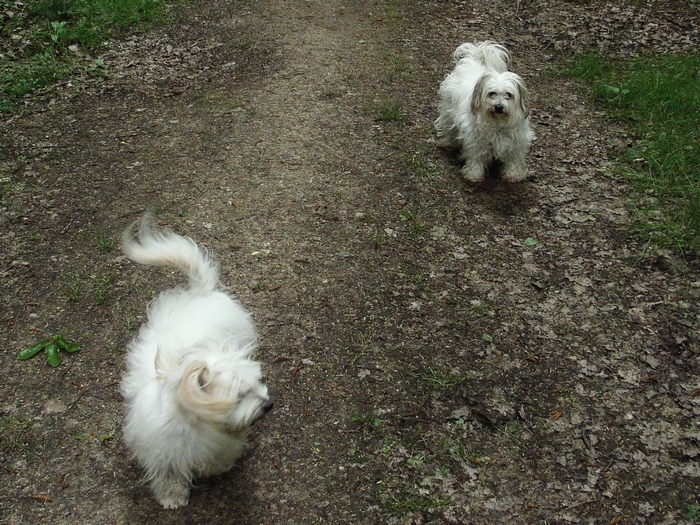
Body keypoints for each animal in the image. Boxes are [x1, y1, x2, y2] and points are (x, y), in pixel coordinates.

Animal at [120, 213, 274, 508]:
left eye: (257, 384)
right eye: (240, 394)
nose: (269, 404)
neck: (195, 422)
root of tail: (200, 294)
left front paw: (219, 466)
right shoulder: (162, 450)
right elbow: (167, 472)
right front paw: (172, 496)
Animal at [432, 40, 536, 182]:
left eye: (508, 95)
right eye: (492, 93)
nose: (498, 107)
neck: (498, 124)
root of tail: (473, 58)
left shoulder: (517, 141)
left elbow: (514, 158)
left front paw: (513, 174)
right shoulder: (476, 140)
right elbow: (476, 157)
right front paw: (474, 174)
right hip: (448, 111)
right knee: (449, 129)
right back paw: (448, 142)